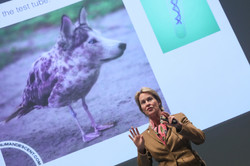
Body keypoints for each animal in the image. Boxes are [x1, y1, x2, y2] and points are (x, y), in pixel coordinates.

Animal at [5, 7, 127, 142]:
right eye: (92, 41)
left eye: (100, 34)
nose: (123, 45)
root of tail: (24, 98)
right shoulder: (64, 98)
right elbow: (73, 114)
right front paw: (86, 137)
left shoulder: (82, 91)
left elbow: (85, 106)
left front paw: (98, 127)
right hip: (35, 102)